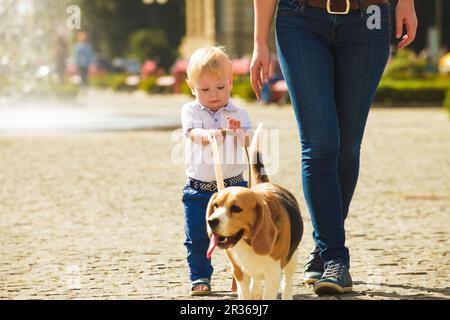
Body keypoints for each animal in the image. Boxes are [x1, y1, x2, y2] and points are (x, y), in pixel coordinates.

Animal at [206, 125, 304, 300]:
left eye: (236, 208)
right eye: (216, 205)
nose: (211, 221)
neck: (247, 242)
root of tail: (267, 184)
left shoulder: (273, 274)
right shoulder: (238, 271)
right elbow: (245, 292)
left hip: (292, 258)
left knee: (288, 281)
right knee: (257, 281)